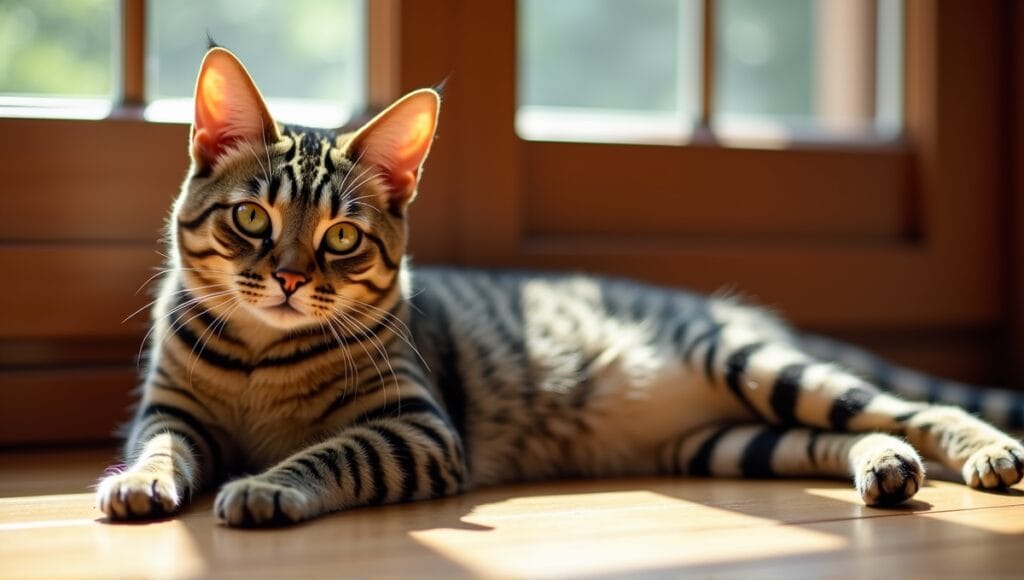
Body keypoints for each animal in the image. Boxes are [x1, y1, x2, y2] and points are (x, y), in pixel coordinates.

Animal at [96, 48, 1024, 528]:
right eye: (253, 219)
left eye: (343, 238)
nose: (289, 278)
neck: (261, 356)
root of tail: (726, 309)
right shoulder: (169, 410)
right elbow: (162, 447)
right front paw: (142, 482)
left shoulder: (416, 430)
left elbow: (328, 453)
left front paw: (268, 484)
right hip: (727, 439)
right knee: (845, 438)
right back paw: (887, 469)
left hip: (756, 370)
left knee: (908, 407)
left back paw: (984, 452)